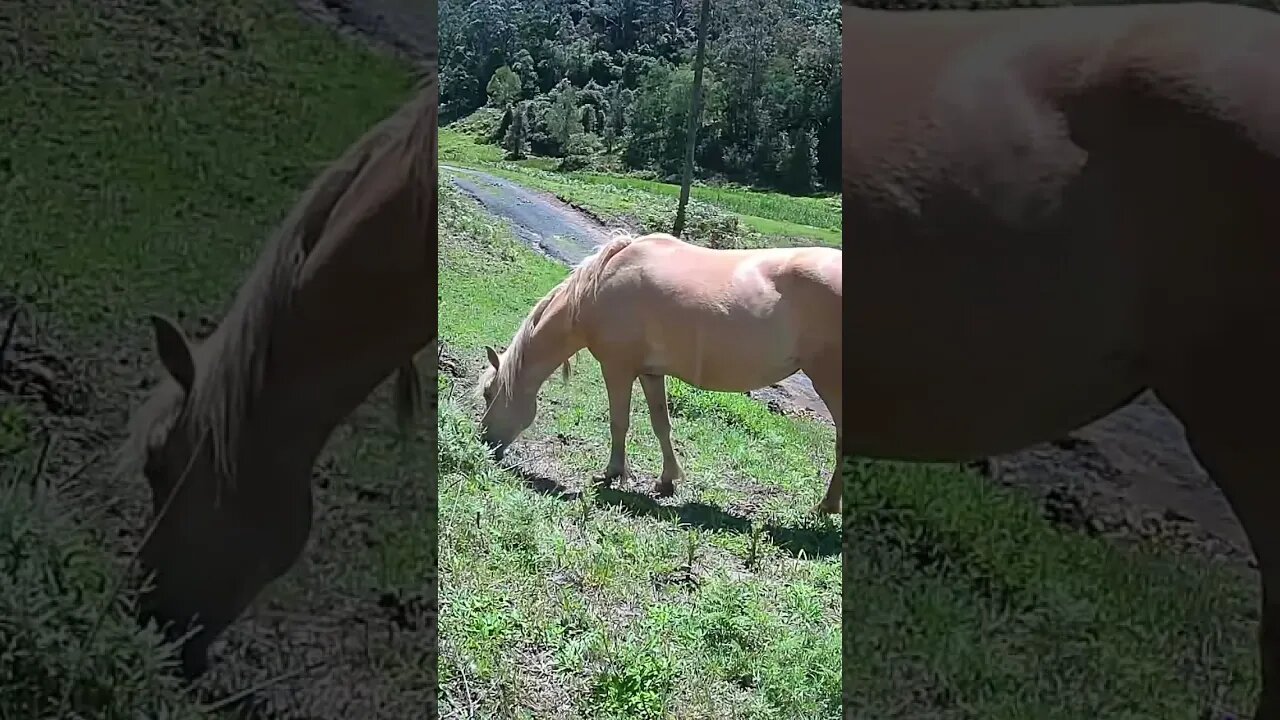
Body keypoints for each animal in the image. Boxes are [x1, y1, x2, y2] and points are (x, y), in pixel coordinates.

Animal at [475, 232, 843, 513]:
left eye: (489, 394)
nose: (484, 442)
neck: (598, 287)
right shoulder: (650, 373)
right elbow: (660, 424)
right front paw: (667, 481)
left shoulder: (617, 368)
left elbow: (619, 422)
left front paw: (611, 474)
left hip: (830, 383)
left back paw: (826, 507)